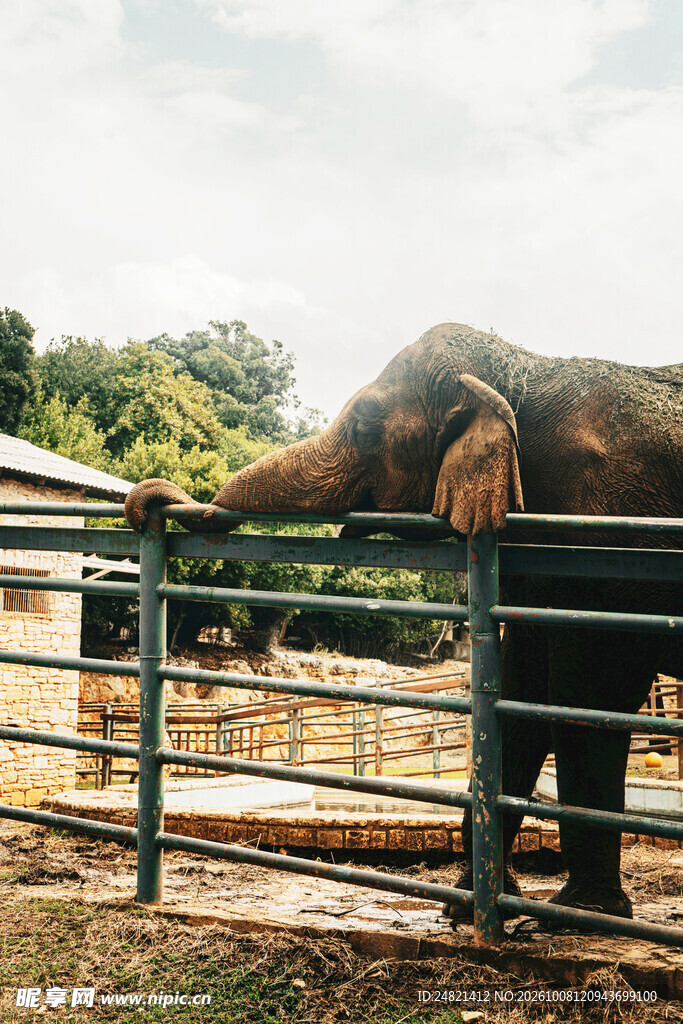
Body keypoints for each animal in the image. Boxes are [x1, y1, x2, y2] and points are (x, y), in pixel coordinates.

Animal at [125, 322, 683, 925]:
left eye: (367, 428)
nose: (150, 503)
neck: (522, 369)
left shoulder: (606, 534)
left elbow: (591, 691)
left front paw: (578, 912)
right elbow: (523, 686)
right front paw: (471, 906)